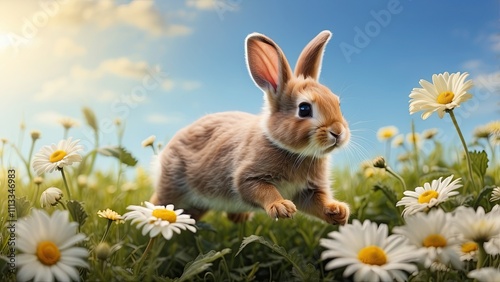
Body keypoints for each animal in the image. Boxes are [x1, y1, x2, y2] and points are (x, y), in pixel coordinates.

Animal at [150, 30, 350, 225]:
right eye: (304, 109)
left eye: (338, 104)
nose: (338, 132)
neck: (295, 152)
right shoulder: (248, 176)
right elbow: (262, 190)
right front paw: (281, 207)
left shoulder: (308, 191)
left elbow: (317, 203)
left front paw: (339, 212)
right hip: (173, 185)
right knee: (161, 201)